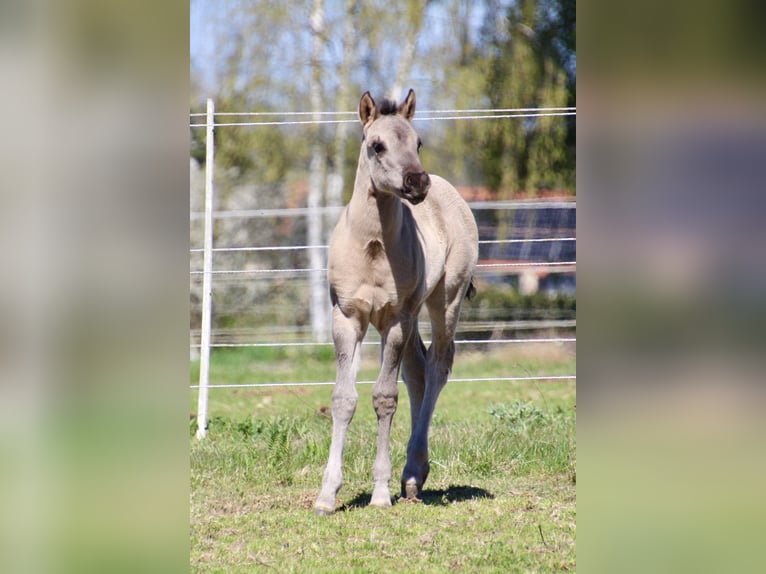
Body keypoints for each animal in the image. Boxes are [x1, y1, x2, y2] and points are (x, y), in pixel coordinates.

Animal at [313, 89, 478, 515]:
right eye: (377, 145)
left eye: (418, 143)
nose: (416, 182)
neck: (372, 246)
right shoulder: (347, 317)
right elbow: (343, 398)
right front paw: (326, 495)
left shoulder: (394, 320)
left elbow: (385, 398)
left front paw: (380, 493)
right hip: (413, 313)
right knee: (418, 372)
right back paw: (414, 478)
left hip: (443, 302)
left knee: (437, 367)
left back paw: (412, 473)